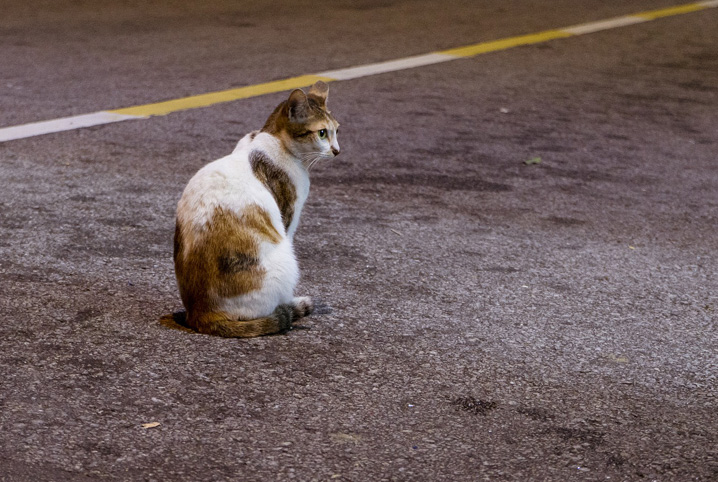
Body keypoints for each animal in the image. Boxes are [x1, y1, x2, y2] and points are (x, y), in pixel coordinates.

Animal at [175, 81, 344, 338]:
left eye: (336, 131)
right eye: (322, 133)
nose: (337, 150)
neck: (271, 138)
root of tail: (200, 314)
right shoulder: (288, 217)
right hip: (286, 261)